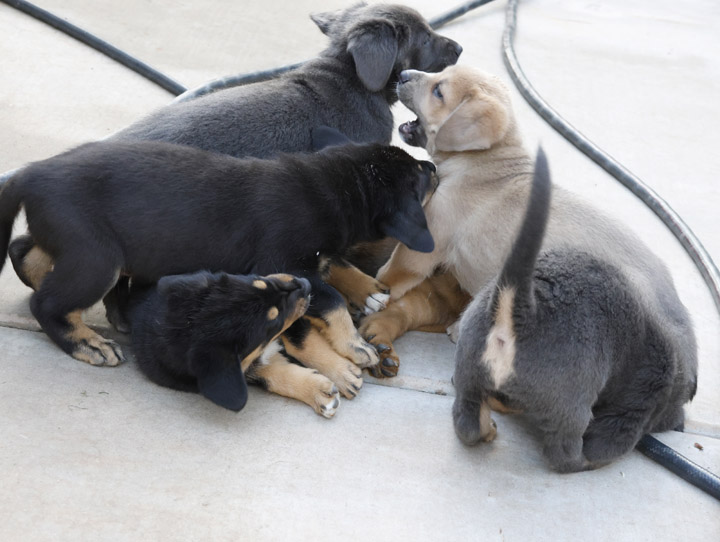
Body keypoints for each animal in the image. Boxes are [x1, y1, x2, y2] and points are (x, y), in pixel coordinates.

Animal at [0, 141, 434, 386]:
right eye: (418, 176)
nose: (431, 165)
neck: (331, 187)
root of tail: (29, 174)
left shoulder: (310, 260)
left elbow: (336, 265)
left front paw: (370, 291)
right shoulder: (286, 262)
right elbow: (330, 300)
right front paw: (355, 348)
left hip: (78, 245)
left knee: (26, 252)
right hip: (99, 258)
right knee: (46, 303)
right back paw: (85, 343)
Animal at [360, 65, 696, 386]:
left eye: (439, 91)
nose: (403, 74)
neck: (483, 161)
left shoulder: (420, 248)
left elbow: (389, 276)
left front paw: (369, 295)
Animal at [450, 151, 696, 474]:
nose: (679, 424)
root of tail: (521, 310)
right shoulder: (634, 407)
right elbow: (610, 439)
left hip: (468, 366)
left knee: (467, 421)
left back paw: (487, 427)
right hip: (572, 404)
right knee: (562, 453)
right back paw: (582, 463)